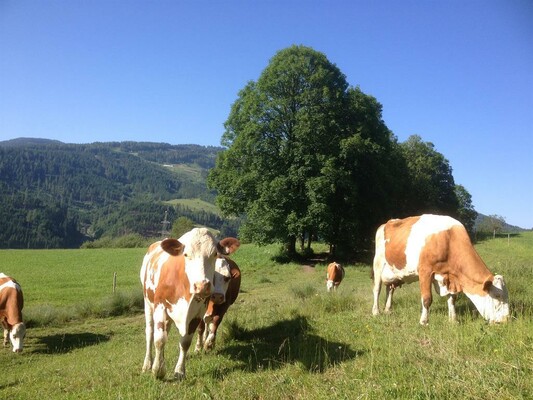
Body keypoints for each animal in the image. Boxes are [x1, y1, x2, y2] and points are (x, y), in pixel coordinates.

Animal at [139, 228, 239, 378]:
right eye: (186, 254)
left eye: (215, 253)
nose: (202, 286)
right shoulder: (160, 306)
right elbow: (159, 339)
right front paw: (158, 370)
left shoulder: (198, 313)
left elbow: (185, 342)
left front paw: (179, 371)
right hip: (148, 304)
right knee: (150, 333)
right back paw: (147, 364)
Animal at [372, 216, 510, 324]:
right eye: (497, 296)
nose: (505, 320)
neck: (449, 240)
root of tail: (386, 223)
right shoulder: (425, 271)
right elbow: (427, 298)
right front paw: (424, 321)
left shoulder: (448, 277)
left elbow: (452, 299)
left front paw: (453, 320)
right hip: (378, 264)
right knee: (377, 289)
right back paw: (376, 312)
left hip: (393, 273)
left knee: (390, 289)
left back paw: (388, 310)